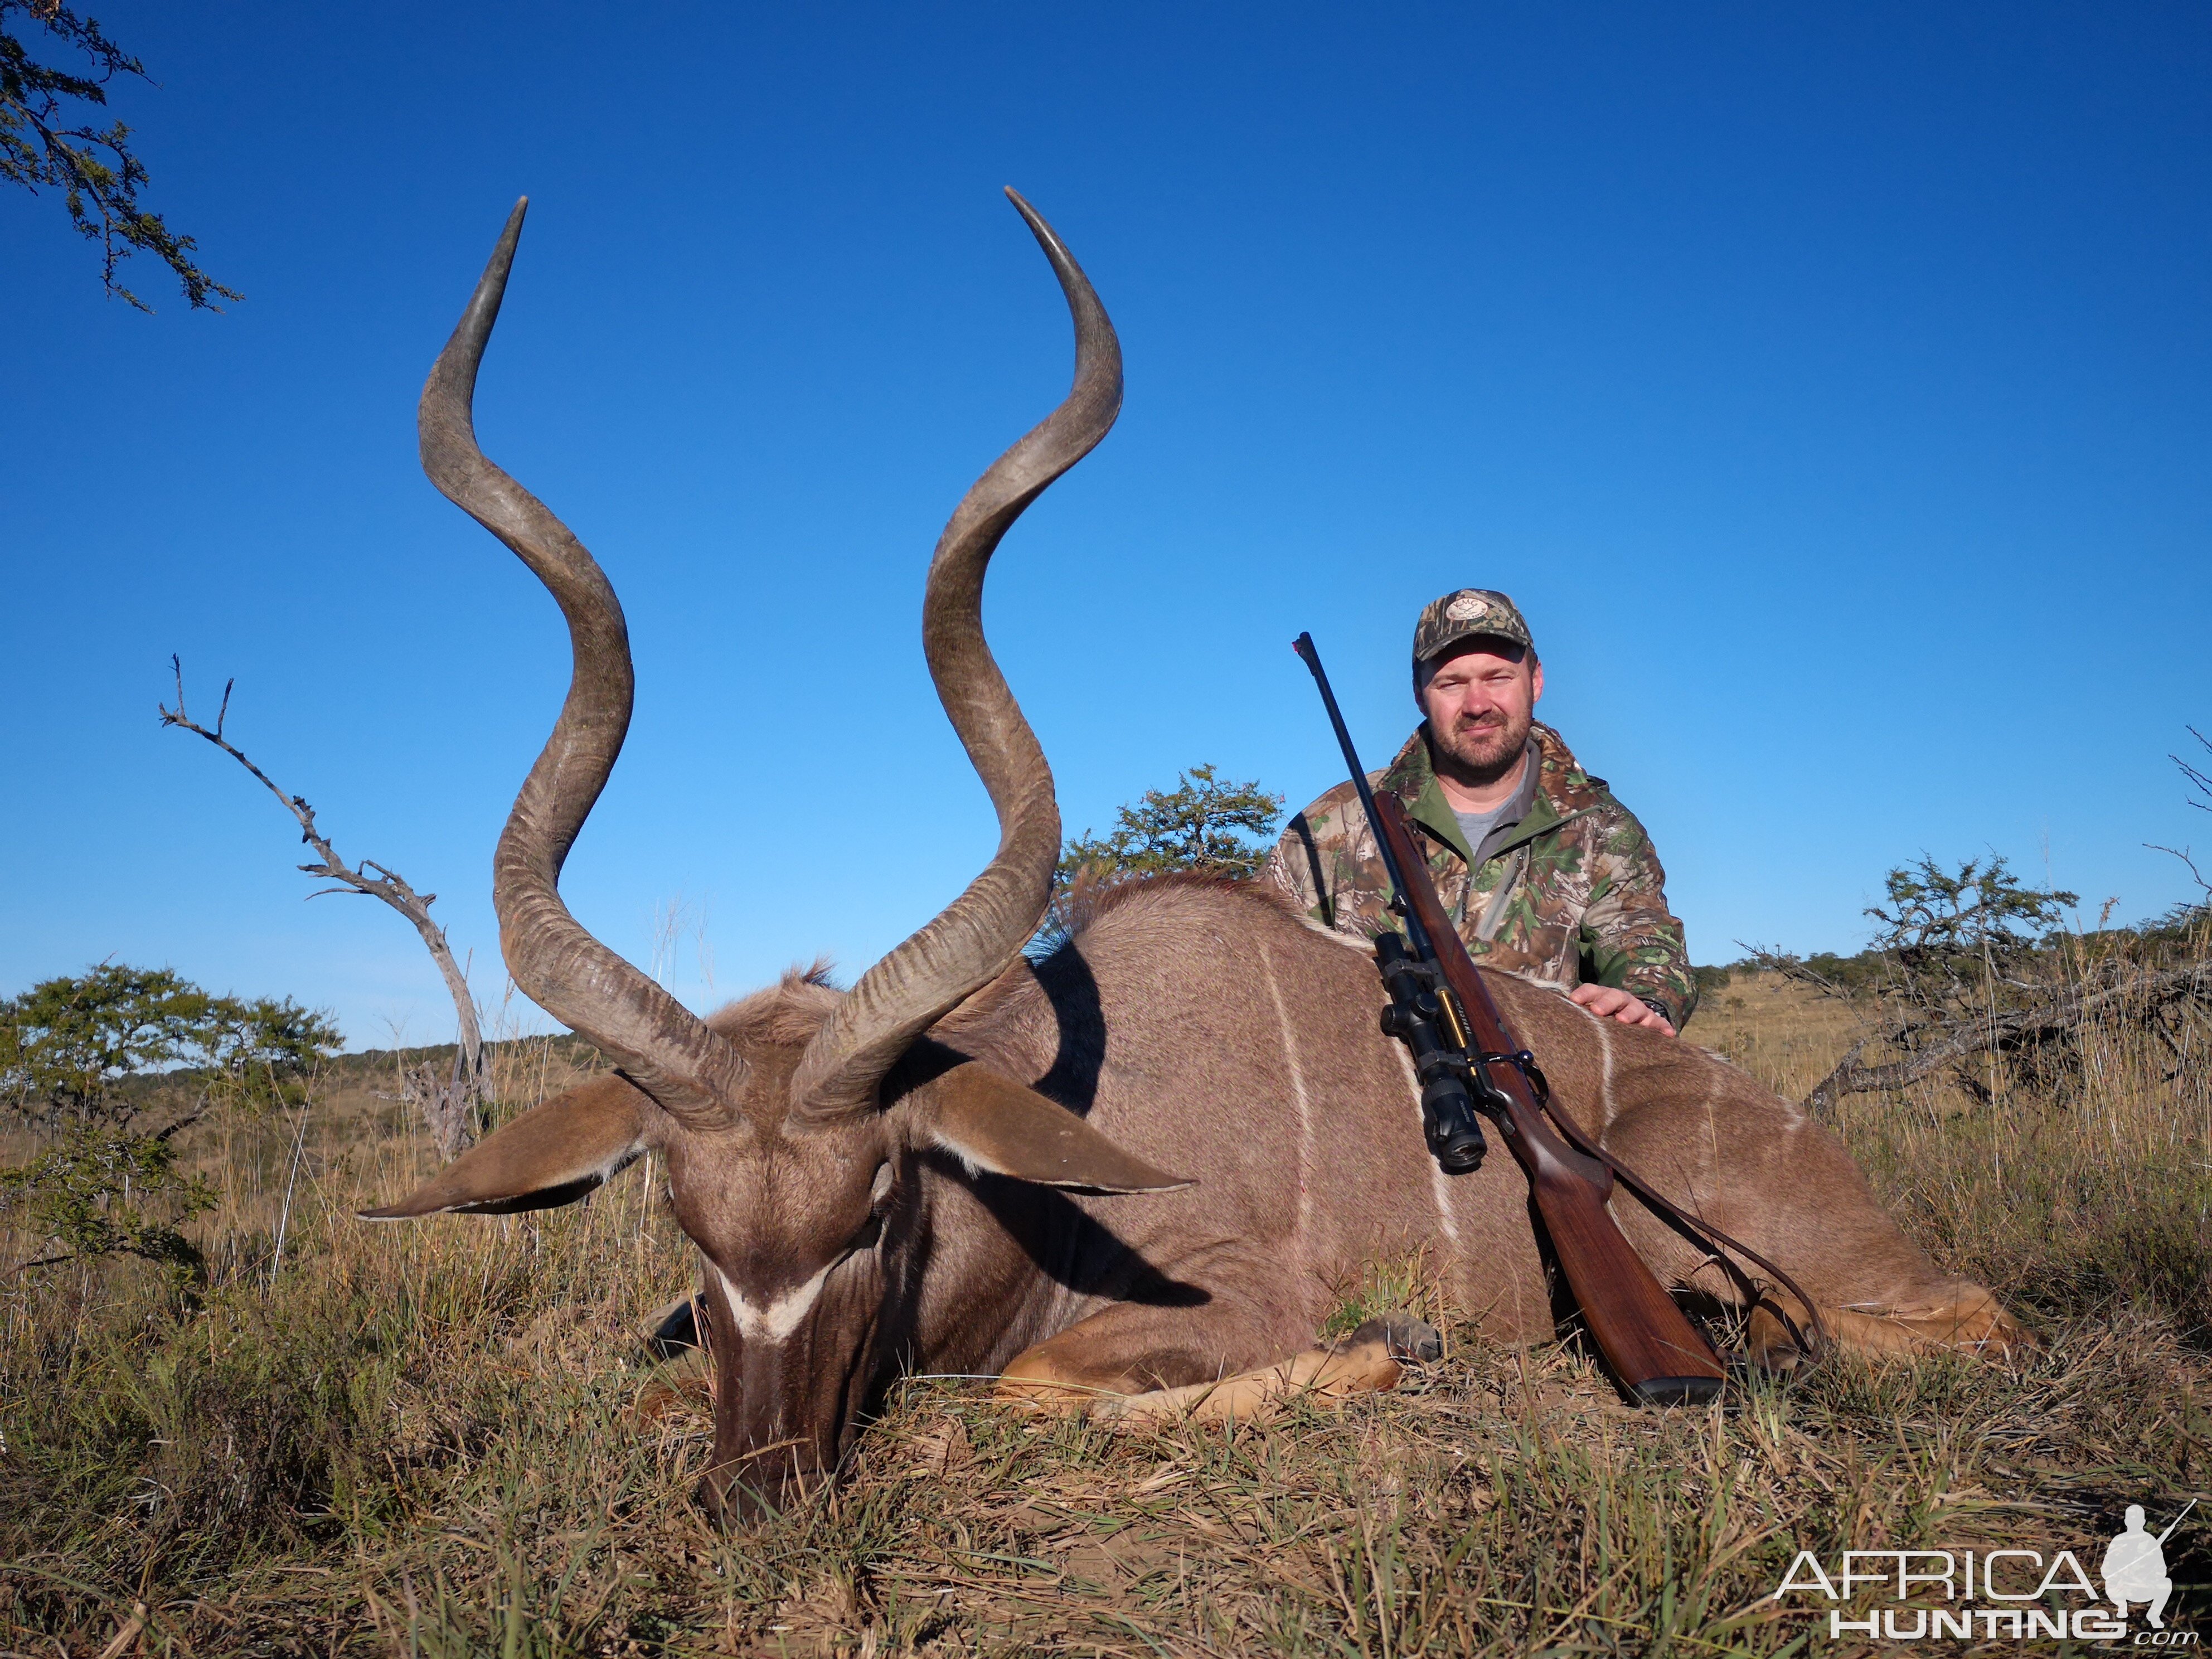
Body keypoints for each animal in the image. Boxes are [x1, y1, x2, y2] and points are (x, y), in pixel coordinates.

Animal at [371, 191, 2026, 1521]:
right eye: (686, 1228)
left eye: (876, 1213)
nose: (756, 1489)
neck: (1041, 1172)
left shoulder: (1223, 1299)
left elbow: (1034, 1393)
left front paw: (1391, 1347)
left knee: (1958, 1325)